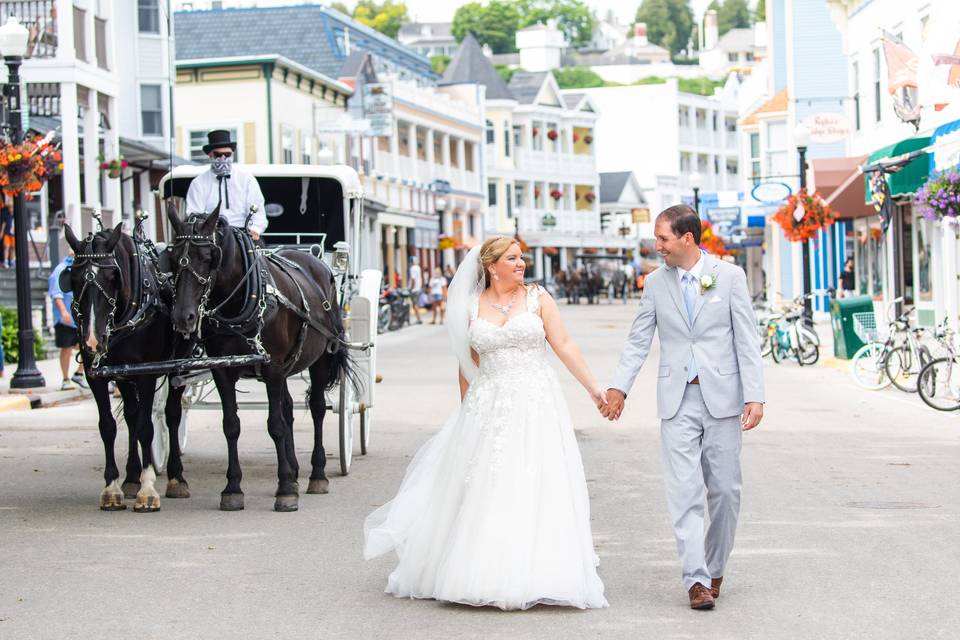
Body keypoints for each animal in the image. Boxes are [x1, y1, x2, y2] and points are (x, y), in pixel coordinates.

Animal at [63, 222, 189, 512]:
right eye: (73, 279)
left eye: (112, 276)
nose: (93, 340)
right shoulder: (96, 375)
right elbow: (108, 426)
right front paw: (112, 488)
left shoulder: (145, 374)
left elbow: (147, 427)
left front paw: (148, 489)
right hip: (123, 375)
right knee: (131, 416)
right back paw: (131, 478)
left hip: (178, 367)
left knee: (172, 415)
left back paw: (176, 478)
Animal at [165, 205, 352, 516]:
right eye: (171, 256)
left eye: (208, 257)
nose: (183, 317)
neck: (240, 301)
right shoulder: (224, 370)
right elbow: (232, 425)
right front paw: (233, 488)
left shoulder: (272, 368)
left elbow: (275, 425)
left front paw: (285, 490)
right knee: (288, 409)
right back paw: (294, 470)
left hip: (320, 359)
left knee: (316, 409)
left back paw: (316, 475)